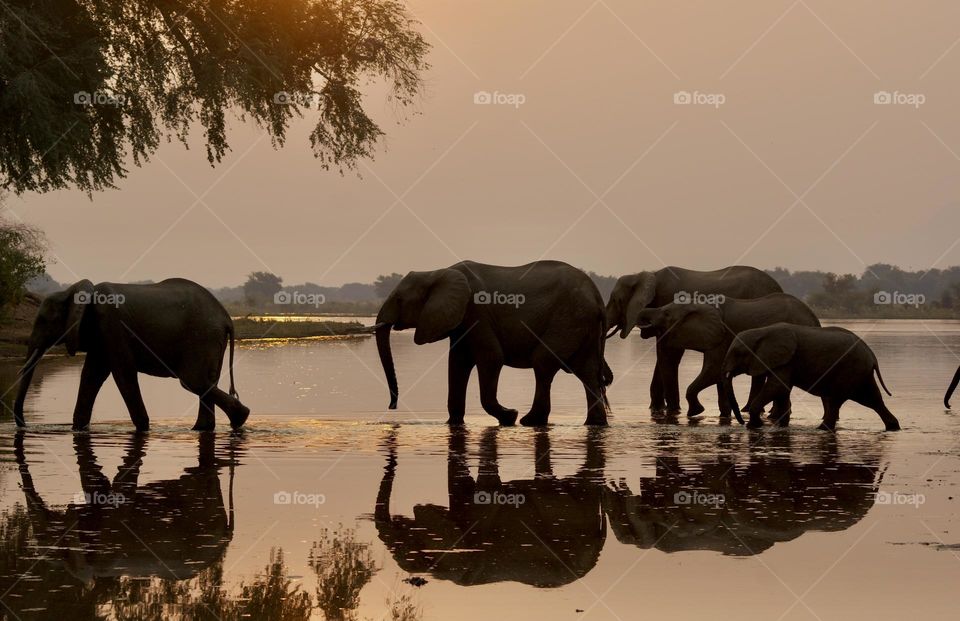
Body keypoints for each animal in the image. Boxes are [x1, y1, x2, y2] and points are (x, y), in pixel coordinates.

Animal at [376, 260, 608, 426]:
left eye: (399, 300)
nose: (392, 406)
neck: (437, 272)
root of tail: (597, 296)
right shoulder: (462, 322)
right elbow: (457, 365)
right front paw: (453, 423)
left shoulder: (476, 313)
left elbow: (491, 358)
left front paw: (509, 417)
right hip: (582, 324)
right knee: (587, 371)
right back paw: (595, 424)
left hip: (568, 318)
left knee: (543, 362)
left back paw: (529, 421)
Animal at [632, 292, 820, 418]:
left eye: (666, 314)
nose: (674, 412)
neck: (698, 303)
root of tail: (815, 318)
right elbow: (720, 376)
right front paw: (725, 415)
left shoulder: (721, 336)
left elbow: (714, 370)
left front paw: (695, 411)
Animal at [724, 324, 904, 432]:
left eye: (737, 353)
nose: (740, 423)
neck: (761, 331)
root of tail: (872, 355)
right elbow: (782, 390)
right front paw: (781, 426)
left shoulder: (786, 361)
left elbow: (778, 387)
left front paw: (753, 426)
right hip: (861, 372)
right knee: (873, 399)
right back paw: (893, 427)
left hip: (851, 370)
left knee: (837, 400)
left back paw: (821, 429)